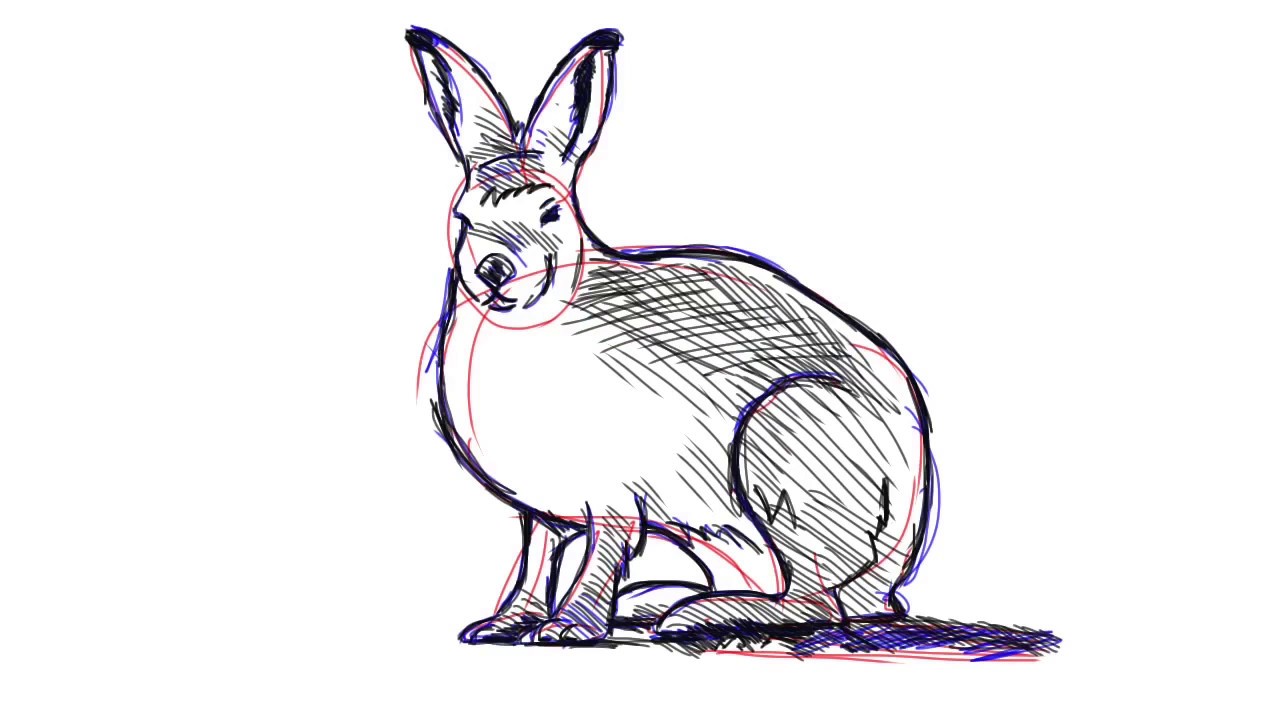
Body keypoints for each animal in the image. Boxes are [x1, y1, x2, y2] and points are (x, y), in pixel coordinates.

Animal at [406, 26, 936, 645]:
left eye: (551, 213)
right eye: (463, 217)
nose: (494, 271)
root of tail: (898, 553)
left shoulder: (611, 498)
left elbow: (599, 556)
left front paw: (569, 628)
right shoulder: (540, 517)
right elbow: (537, 561)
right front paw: (502, 623)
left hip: (786, 448)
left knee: (815, 599)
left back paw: (692, 615)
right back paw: (658, 603)